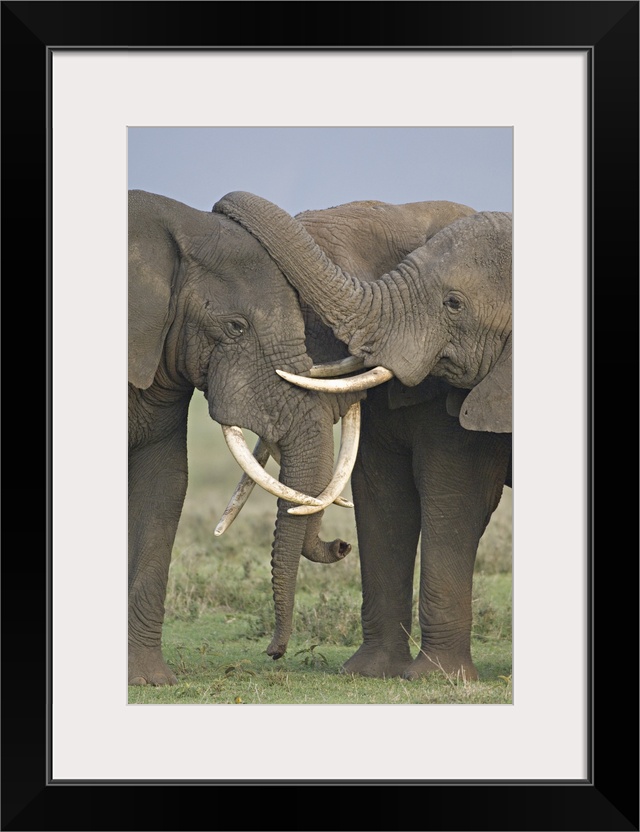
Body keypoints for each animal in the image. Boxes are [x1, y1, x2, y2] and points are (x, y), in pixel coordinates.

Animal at [212, 197, 512, 684]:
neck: (402, 215)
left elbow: (455, 496)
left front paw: (434, 679)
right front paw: (369, 673)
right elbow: (381, 496)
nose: (339, 546)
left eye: (454, 304)